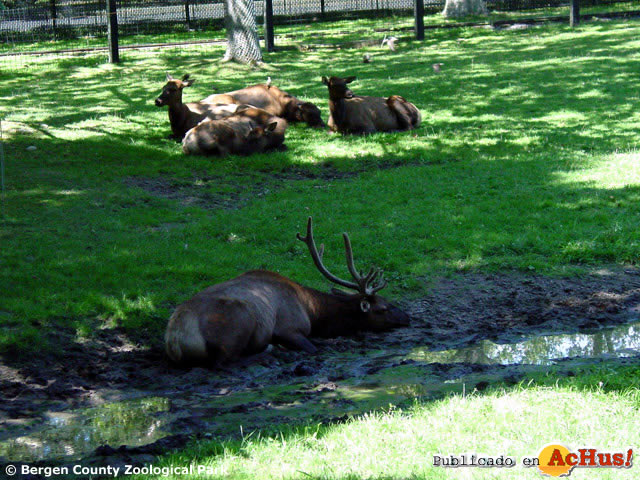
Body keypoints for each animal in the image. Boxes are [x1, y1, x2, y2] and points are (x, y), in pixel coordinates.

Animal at [162, 216, 408, 366]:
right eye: (384, 307)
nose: (408, 316)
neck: (312, 310)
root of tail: (175, 339)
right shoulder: (288, 328)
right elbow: (315, 347)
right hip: (238, 322)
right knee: (224, 360)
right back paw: (270, 352)